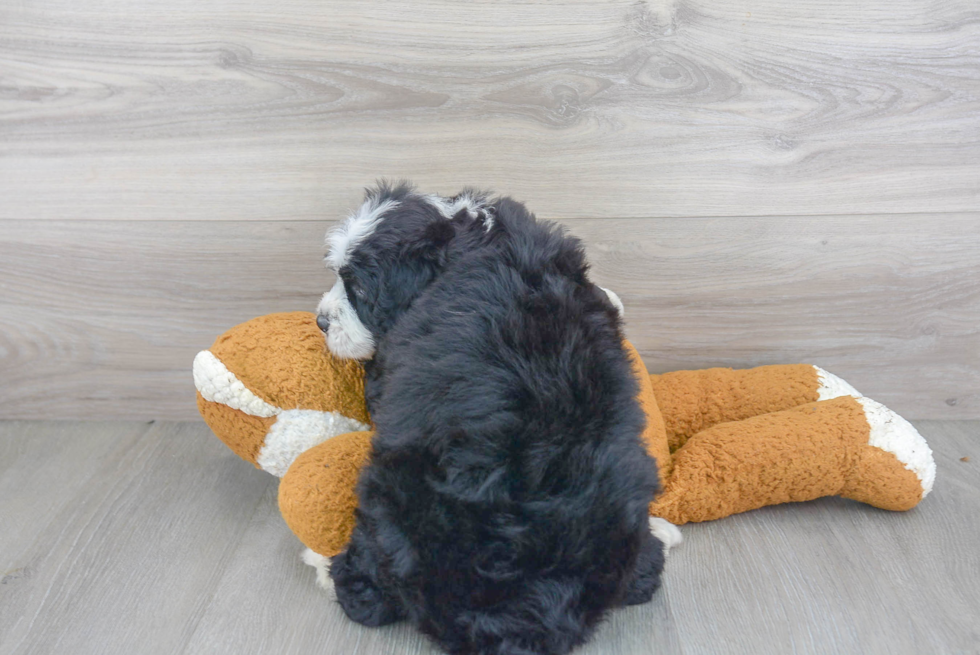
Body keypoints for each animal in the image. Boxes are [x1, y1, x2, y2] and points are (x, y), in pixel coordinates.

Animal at [314, 182, 672, 655]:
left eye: (358, 289)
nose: (320, 320)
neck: (465, 240)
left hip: (384, 498)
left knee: (368, 584)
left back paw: (339, 576)